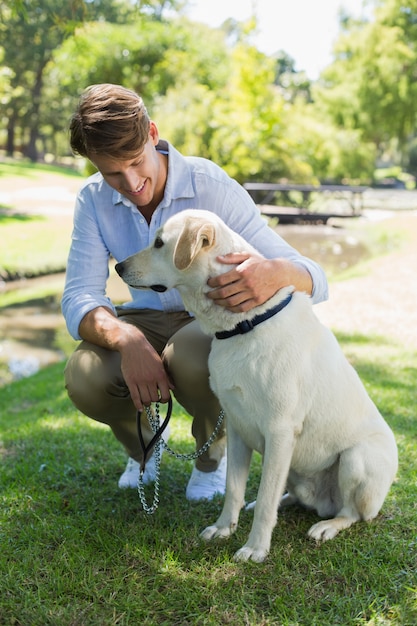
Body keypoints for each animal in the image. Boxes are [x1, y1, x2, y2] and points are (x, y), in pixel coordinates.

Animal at [115, 208, 398, 560]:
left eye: (159, 243)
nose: (118, 267)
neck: (243, 325)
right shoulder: (237, 426)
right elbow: (234, 489)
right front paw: (224, 528)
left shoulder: (279, 432)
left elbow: (265, 499)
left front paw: (255, 548)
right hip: (295, 469)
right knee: (290, 495)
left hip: (356, 459)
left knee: (351, 513)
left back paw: (327, 526)